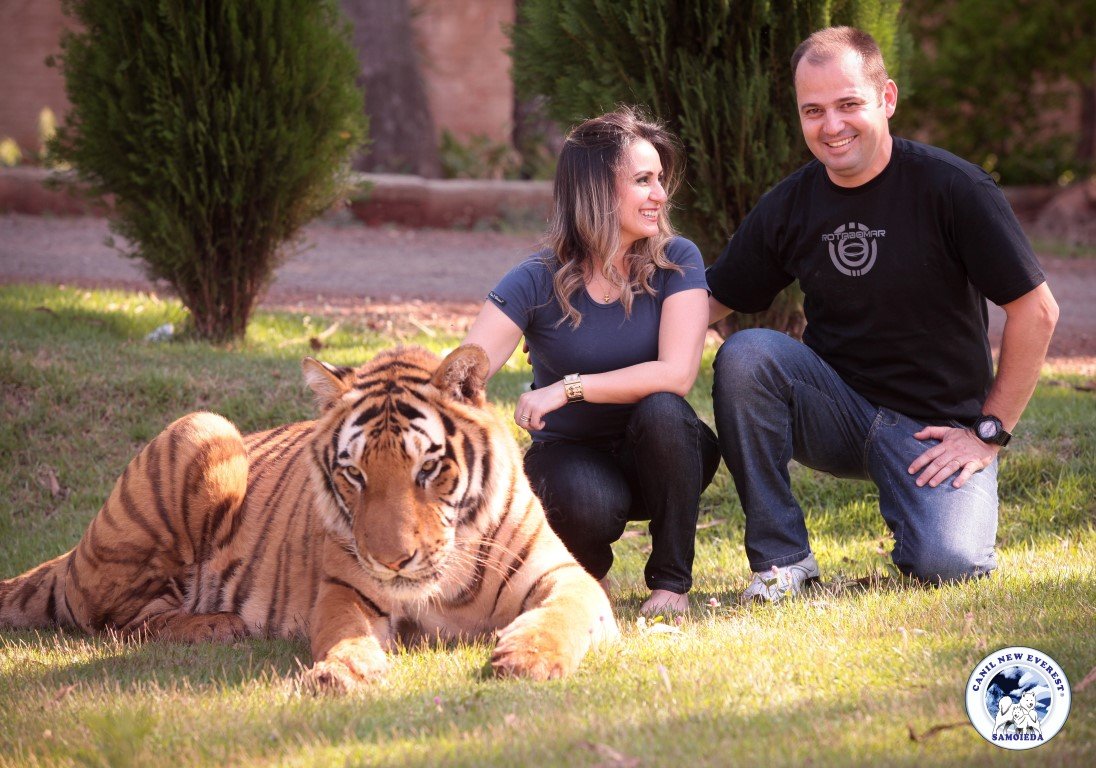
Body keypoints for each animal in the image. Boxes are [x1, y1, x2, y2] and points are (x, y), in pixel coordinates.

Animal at [0, 344, 618, 691]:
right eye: (355, 474)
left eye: (427, 468)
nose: (392, 560)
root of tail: (70, 557)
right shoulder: (346, 591)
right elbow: (344, 634)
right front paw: (345, 672)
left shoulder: (564, 576)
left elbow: (563, 614)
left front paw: (528, 660)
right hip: (205, 429)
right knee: (116, 618)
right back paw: (217, 625)